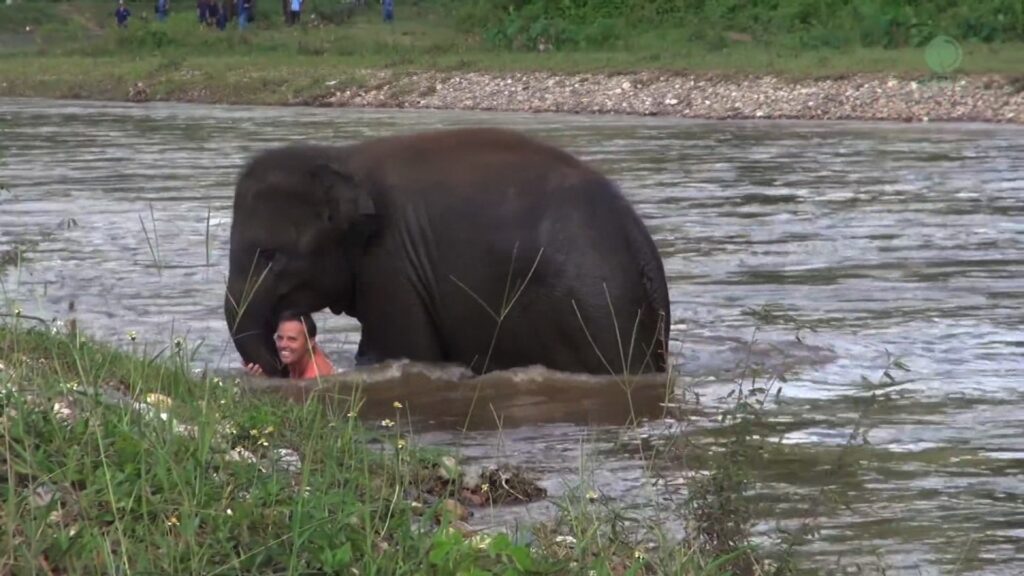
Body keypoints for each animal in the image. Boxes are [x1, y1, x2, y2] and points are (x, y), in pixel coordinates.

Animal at [224, 127, 671, 378]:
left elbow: (393, 351)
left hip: (589, 314)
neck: (343, 157)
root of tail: (638, 243)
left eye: (270, 255)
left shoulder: (392, 266)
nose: (280, 365)